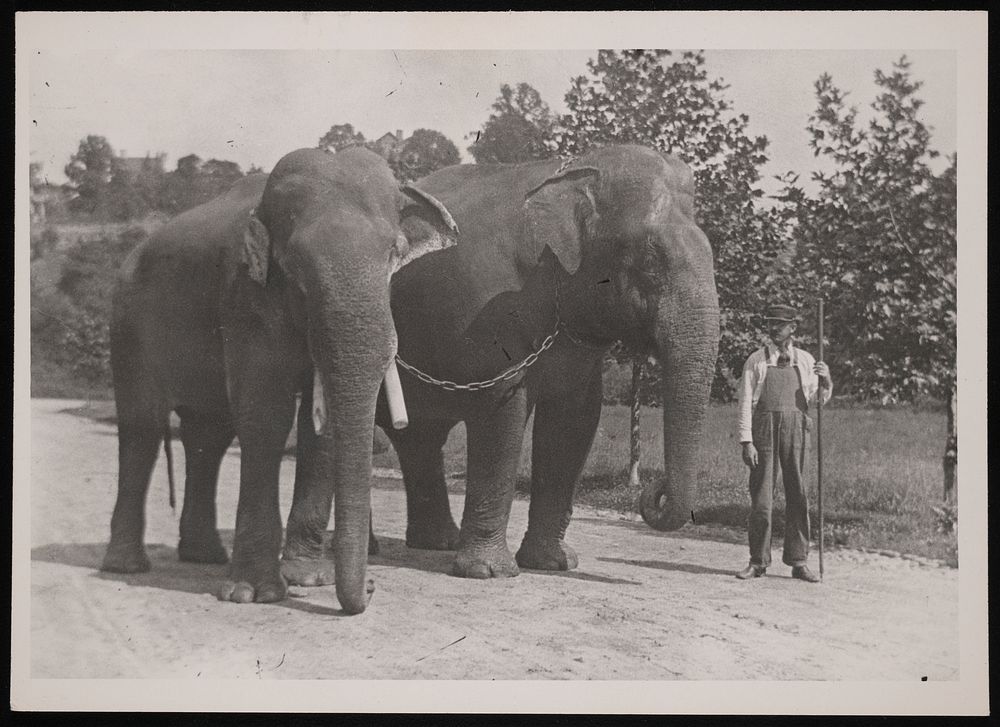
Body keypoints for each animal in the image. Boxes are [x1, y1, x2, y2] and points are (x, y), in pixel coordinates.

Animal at [99, 148, 458, 616]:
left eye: (394, 254)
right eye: (296, 266)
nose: (371, 588)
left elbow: (320, 427)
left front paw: (309, 578)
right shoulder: (244, 294)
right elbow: (265, 412)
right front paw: (253, 593)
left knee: (208, 434)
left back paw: (204, 556)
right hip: (127, 325)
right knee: (142, 427)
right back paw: (125, 566)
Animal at [358, 145, 720, 580]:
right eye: (649, 262)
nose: (654, 492)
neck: (570, 174)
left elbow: (574, 422)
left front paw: (554, 564)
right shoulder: (492, 314)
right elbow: (502, 416)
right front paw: (489, 572)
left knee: (419, 438)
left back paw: (437, 542)